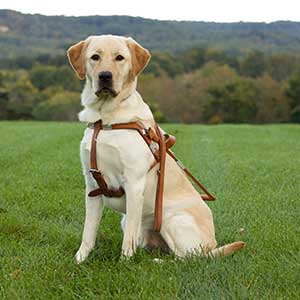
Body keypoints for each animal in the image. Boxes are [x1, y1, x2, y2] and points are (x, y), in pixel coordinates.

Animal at [67, 35, 245, 262]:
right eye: (95, 57)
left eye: (120, 58)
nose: (105, 76)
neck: (105, 118)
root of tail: (212, 245)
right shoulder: (92, 185)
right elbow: (88, 230)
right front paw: (80, 259)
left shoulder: (134, 184)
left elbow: (128, 240)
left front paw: (124, 263)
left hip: (172, 218)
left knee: (186, 258)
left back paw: (157, 262)